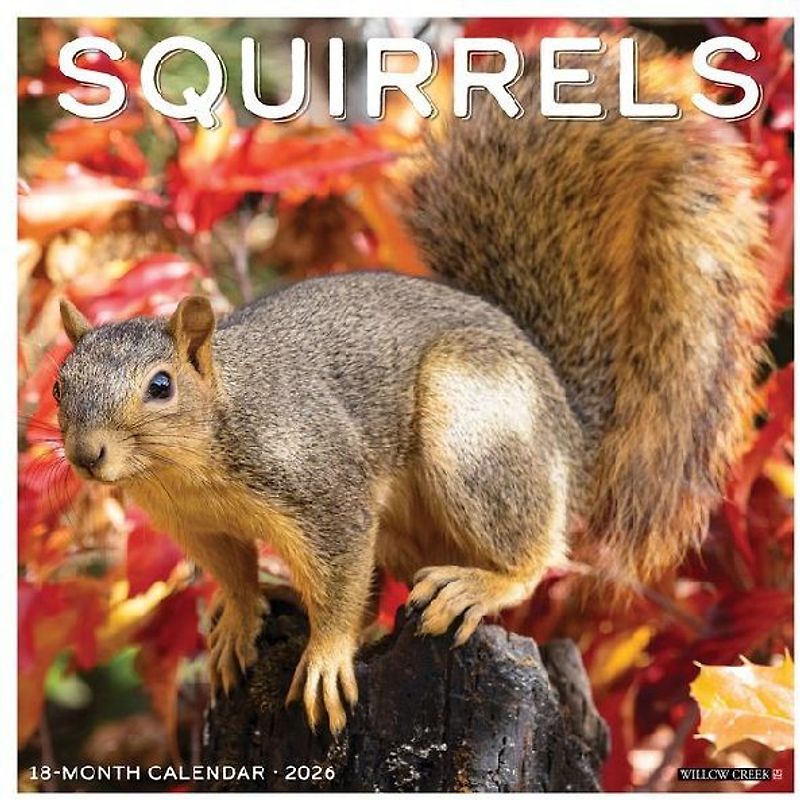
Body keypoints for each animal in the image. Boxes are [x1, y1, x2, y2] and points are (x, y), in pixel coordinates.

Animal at [55, 35, 769, 735]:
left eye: (161, 386)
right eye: (60, 386)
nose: (87, 455)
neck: (192, 465)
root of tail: (566, 427)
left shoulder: (323, 485)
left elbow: (339, 579)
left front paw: (326, 657)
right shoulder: (197, 525)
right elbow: (234, 574)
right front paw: (239, 617)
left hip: (475, 430)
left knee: (536, 552)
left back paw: (477, 586)